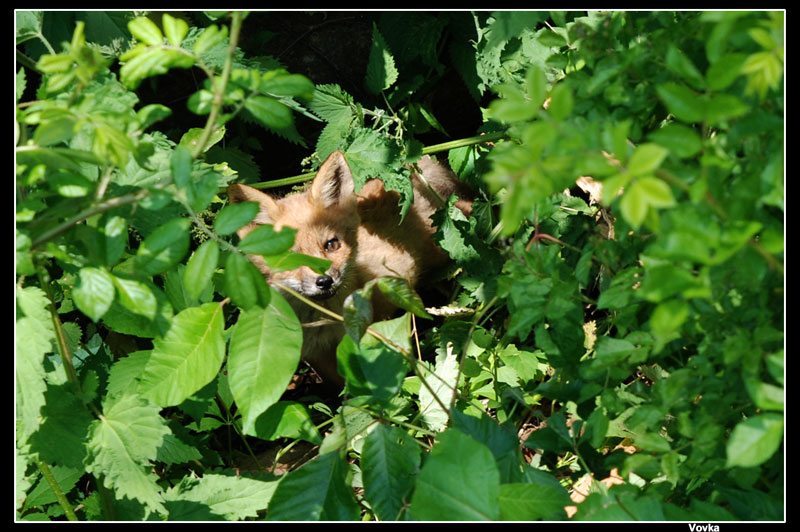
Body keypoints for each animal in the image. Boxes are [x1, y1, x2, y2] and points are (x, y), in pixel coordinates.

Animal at [227, 150, 472, 387]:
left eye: (331, 245)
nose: (324, 281)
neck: (325, 321)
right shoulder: (317, 355)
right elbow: (342, 384)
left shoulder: (400, 272)